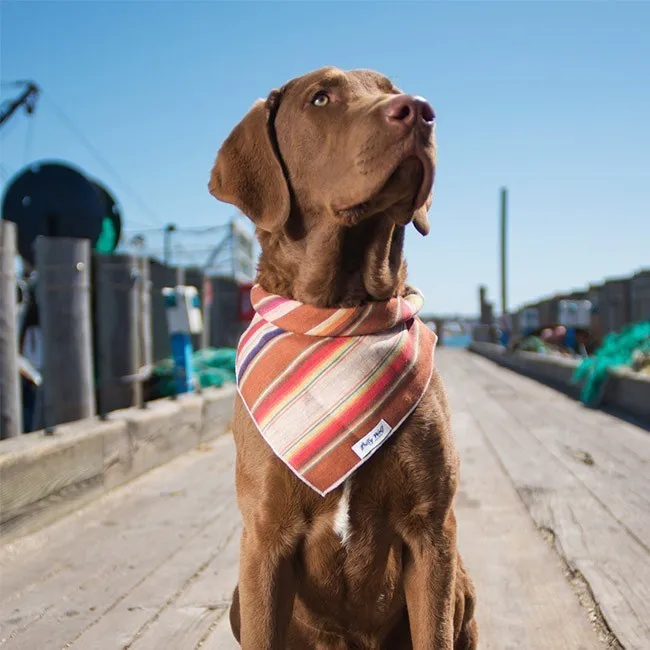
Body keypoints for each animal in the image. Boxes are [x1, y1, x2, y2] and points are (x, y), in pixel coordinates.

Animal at [209, 67, 476, 648]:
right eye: (320, 99)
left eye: (390, 88)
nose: (419, 111)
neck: (342, 313)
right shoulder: (264, 540)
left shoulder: (432, 531)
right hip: (239, 596)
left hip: (463, 583)